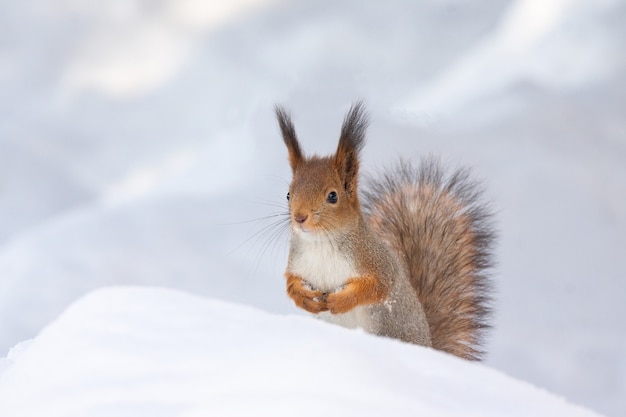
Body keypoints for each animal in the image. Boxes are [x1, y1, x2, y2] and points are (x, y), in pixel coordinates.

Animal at [272, 102, 492, 360]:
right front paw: (305, 298)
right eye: (289, 194)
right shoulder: (297, 263)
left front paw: (340, 301)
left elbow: (379, 286)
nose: (299, 217)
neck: (321, 243)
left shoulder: (378, 262)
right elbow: (291, 284)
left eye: (333, 196)